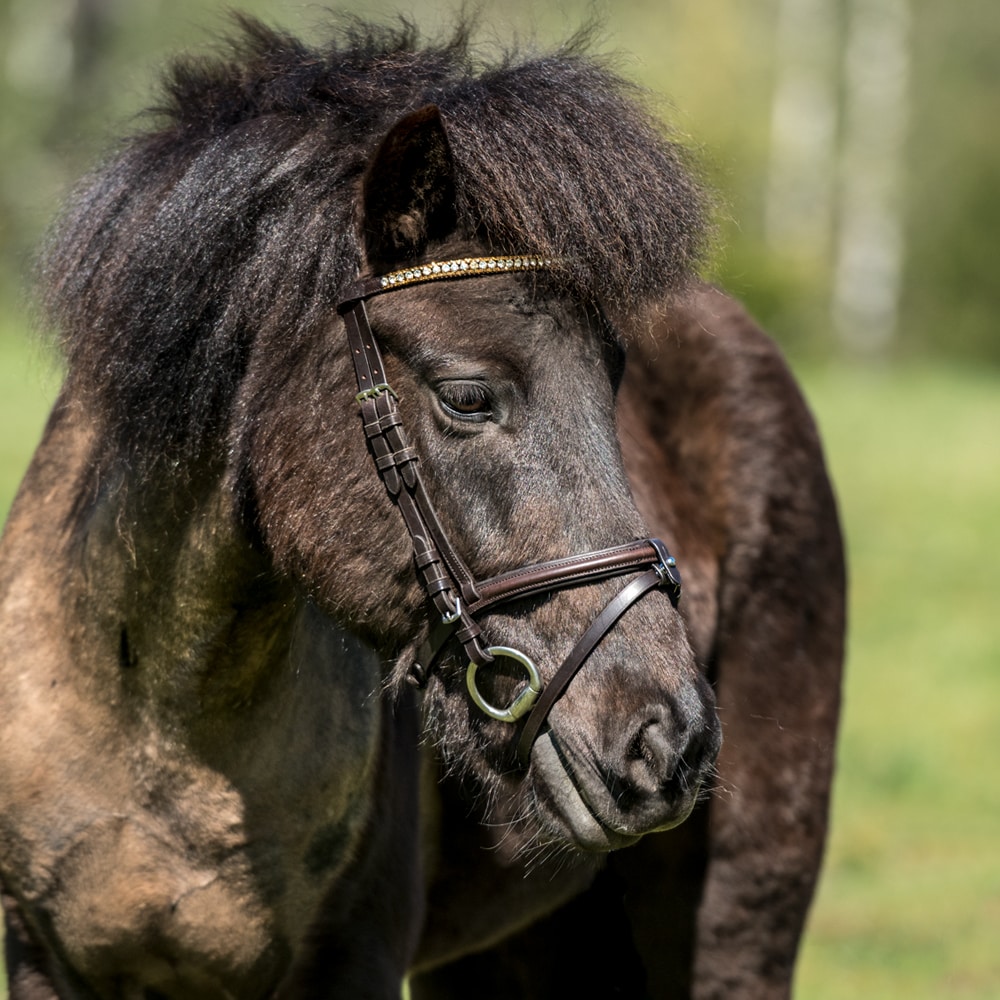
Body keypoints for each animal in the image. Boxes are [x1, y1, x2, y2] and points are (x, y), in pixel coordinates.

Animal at [0, 15, 844, 1000]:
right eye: (467, 397)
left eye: (615, 383)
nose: (669, 740)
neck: (160, 719)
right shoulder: (43, 956)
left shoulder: (352, 953)